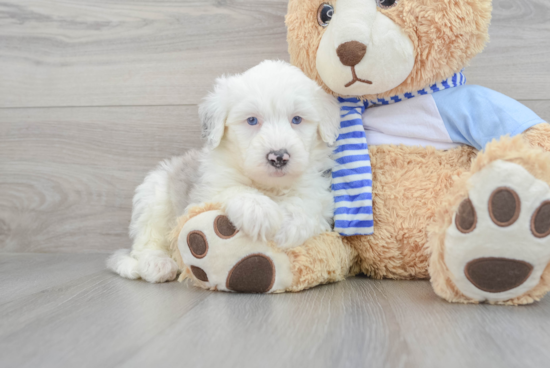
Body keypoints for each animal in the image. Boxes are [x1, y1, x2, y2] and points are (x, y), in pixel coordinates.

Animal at [107, 61, 340, 284]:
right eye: (252, 120)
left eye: (297, 119)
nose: (279, 157)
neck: (269, 186)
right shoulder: (209, 188)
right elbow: (235, 189)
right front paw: (259, 211)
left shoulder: (318, 188)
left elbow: (307, 202)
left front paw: (287, 225)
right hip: (154, 198)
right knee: (146, 242)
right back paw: (157, 264)